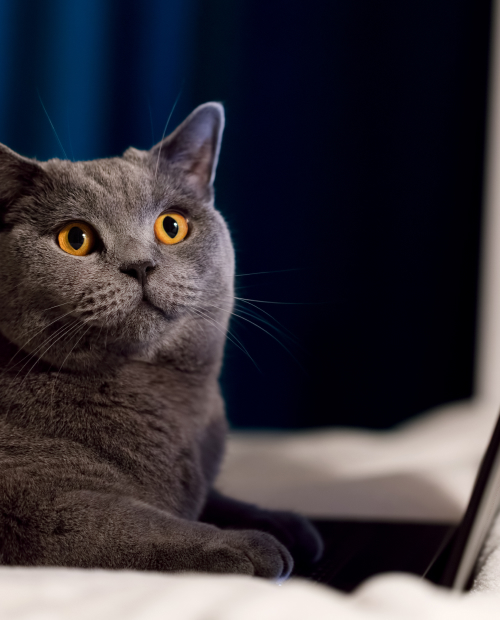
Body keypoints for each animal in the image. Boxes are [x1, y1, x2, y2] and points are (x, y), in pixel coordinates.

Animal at [0, 103, 322, 580]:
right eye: (74, 238)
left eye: (172, 226)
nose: (139, 265)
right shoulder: (29, 502)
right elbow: (130, 524)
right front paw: (252, 546)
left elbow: (217, 498)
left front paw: (287, 523)